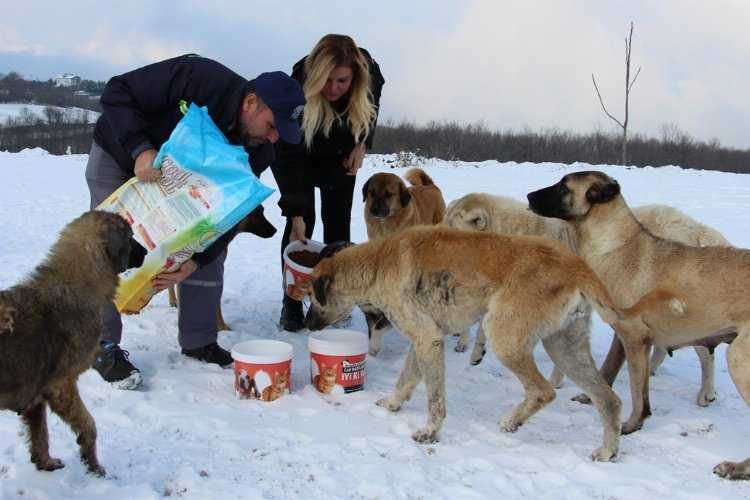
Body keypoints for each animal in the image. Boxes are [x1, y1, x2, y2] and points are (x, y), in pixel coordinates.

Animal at [0, 209, 134, 474]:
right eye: (132, 237)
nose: (145, 251)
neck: (75, 282)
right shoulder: (62, 384)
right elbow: (88, 424)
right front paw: (93, 464)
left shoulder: (36, 396)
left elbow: (40, 434)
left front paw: (45, 462)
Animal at [298, 226, 680, 460]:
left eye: (312, 299)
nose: (305, 325)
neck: (377, 263)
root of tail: (574, 264)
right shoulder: (424, 341)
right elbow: (406, 379)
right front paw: (393, 404)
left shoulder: (427, 339)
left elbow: (434, 399)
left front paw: (430, 432)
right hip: (565, 347)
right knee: (609, 400)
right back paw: (607, 452)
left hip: (504, 337)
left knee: (544, 390)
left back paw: (512, 421)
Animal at [446, 191, 736, 406]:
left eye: (450, 229)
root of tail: (694, 227)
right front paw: (476, 352)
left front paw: (556, 379)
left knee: (705, 353)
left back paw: (706, 393)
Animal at [524, 172, 748, 480]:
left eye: (563, 187)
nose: (528, 196)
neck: (614, 243)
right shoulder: (628, 337)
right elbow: (619, 374)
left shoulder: (633, 336)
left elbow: (634, 388)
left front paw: (629, 425)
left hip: (738, 357)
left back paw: (735, 466)